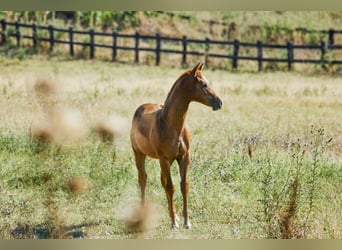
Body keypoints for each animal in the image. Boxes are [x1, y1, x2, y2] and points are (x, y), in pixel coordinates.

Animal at [130, 62, 222, 229]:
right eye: (204, 85)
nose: (219, 102)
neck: (171, 125)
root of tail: (141, 107)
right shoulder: (164, 159)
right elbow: (170, 186)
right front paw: (173, 222)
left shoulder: (184, 157)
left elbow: (183, 186)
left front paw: (185, 221)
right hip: (139, 154)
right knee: (143, 179)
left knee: (161, 180)